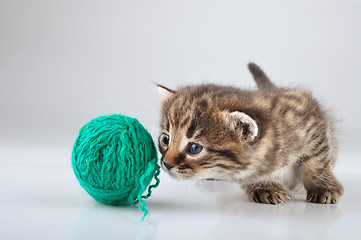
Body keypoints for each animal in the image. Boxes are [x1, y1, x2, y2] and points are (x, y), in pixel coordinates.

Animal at [158, 62, 344, 203]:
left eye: (195, 148)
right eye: (165, 139)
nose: (166, 164)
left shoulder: (312, 123)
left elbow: (318, 161)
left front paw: (323, 187)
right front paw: (265, 186)